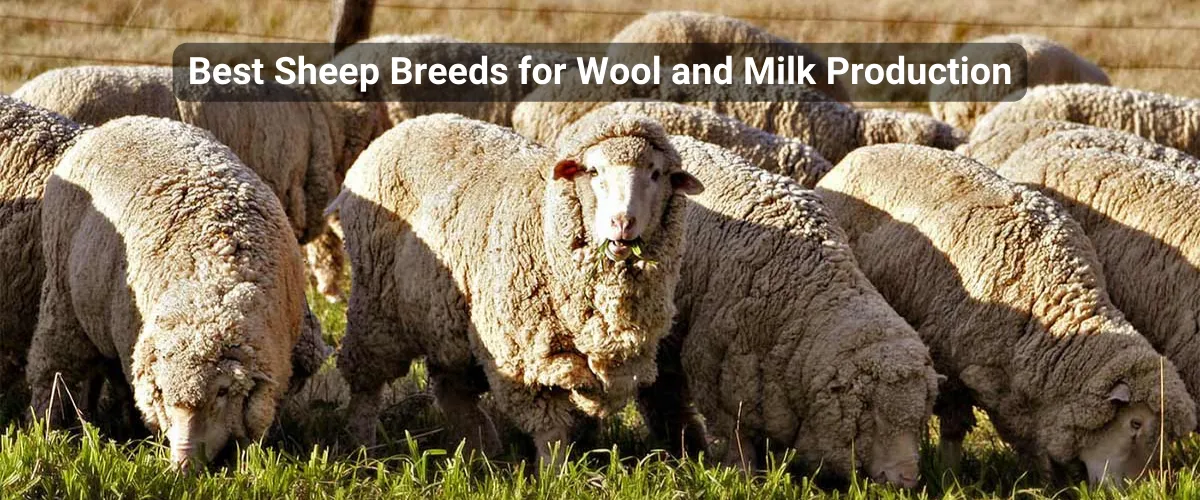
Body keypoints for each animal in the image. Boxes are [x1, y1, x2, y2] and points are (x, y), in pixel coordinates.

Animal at [28, 116, 310, 468]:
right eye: (162, 393)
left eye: (222, 392)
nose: (182, 466)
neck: (213, 279)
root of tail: (117, 122)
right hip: (62, 296)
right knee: (52, 368)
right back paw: (46, 431)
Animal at [335, 113, 704, 462]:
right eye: (594, 171)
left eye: (656, 174)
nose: (622, 223)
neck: (545, 221)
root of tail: (403, 128)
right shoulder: (522, 354)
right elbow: (550, 429)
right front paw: (555, 473)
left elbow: (588, 408)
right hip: (375, 305)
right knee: (367, 383)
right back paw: (362, 446)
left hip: (446, 319)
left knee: (451, 387)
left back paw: (481, 449)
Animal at [636, 134, 938, 487]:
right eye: (873, 416)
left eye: (920, 417)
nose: (907, 479)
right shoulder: (715, 374)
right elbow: (735, 438)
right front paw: (743, 477)